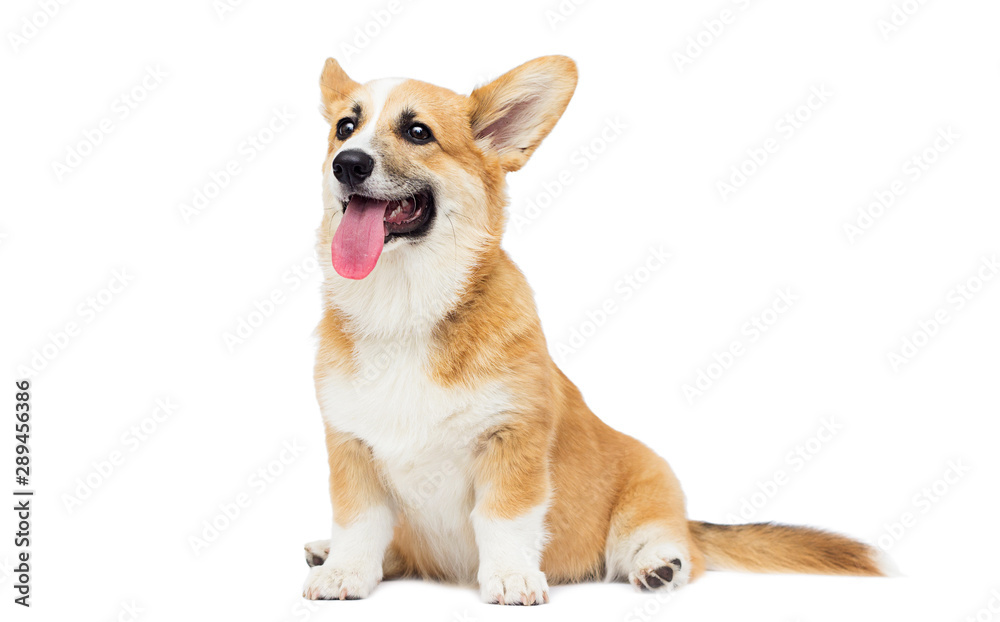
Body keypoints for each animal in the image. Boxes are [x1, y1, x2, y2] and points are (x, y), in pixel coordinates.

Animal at [300, 57, 888, 604]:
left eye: (418, 132)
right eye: (346, 127)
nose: (347, 164)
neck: (404, 309)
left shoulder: (514, 442)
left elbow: (503, 519)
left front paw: (511, 578)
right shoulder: (350, 448)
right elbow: (359, 523)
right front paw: (345, 572)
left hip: (648, 487)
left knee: (672, 543)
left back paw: (660, 563)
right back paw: (328, 552)